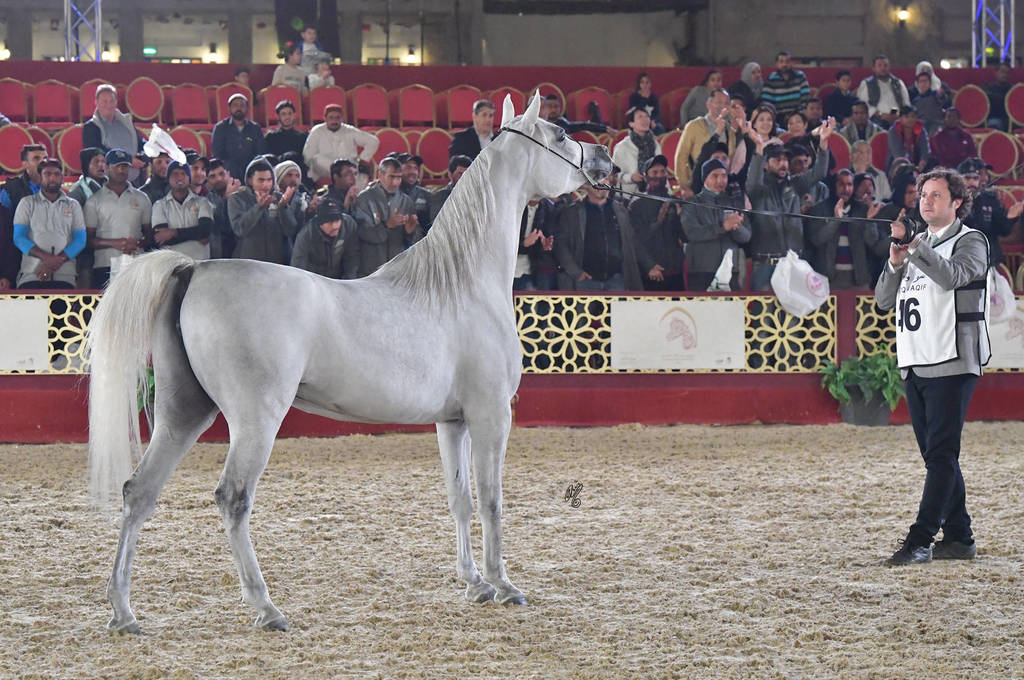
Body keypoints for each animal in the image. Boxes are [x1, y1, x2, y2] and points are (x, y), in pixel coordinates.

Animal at [86, 92, 613, 634]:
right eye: (559, 134)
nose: (604, 160)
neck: (462, 284)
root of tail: (195, 269)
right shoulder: (492, 415)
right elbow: (491, 498)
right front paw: (503, 585)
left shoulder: (454, 421)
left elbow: (460, 499)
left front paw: (474, 584)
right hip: (255, 419)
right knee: (232, 498)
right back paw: (266, 608)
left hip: (182, 411)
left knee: (139, 492)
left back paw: (123, 611)